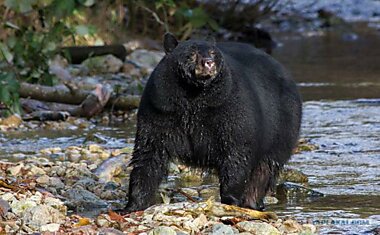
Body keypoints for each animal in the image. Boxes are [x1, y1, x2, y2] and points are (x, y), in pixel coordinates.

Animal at [126, 33, 302, 213]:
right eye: (192, 54)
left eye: (212, 53)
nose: (209, 62)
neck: (193, 96)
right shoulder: (160, 108)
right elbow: (149, 153)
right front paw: (134, 204)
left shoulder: (231, 109)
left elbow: (236, 152)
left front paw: (230, 198)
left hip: (282, 126)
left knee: (265, 168)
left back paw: (251, 201)